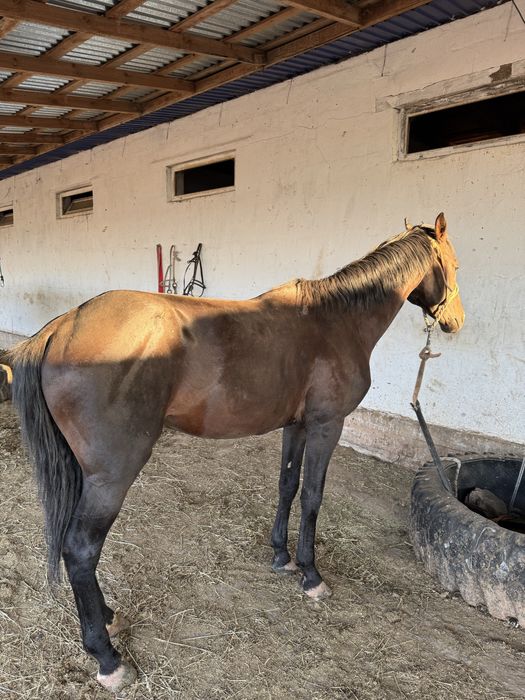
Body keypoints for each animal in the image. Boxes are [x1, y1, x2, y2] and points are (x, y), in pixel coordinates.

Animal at [7, 212, 464, 692]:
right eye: (454, 265)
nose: (455, 321)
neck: (336, 321)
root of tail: (61, 328)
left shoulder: (297, 426)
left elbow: (287, 485)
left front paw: (281, 557)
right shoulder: (327, 425)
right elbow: (313, 497)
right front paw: (311, 575)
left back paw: (110, 618)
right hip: (112, 476)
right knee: (81, 549)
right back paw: (107, 657)